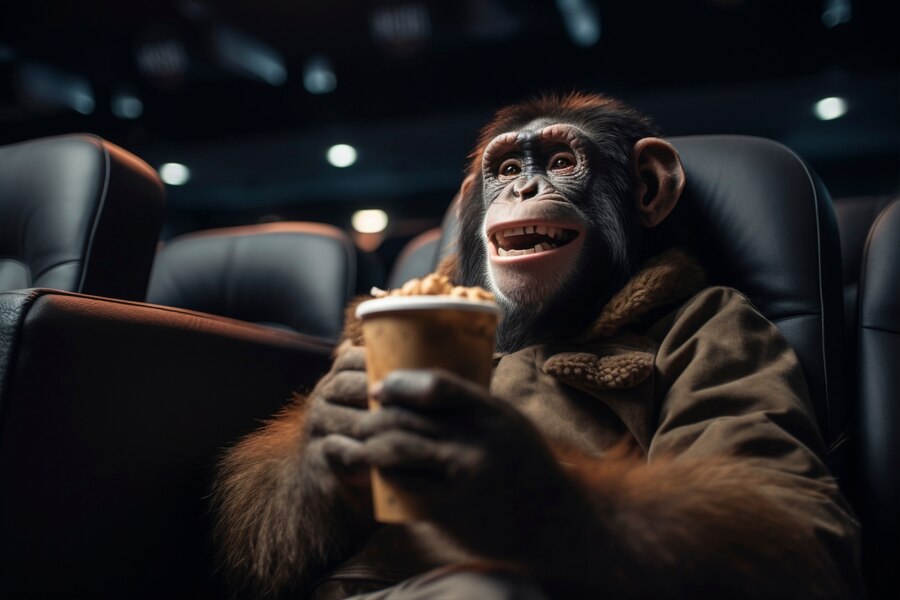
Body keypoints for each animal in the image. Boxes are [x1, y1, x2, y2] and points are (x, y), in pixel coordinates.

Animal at [213, 93, 863, 599]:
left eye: (560, 161)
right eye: (504, 167)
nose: (524, 187)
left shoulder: (726, 320)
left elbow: (779, 503)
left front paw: (512, 482)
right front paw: (327, 424)